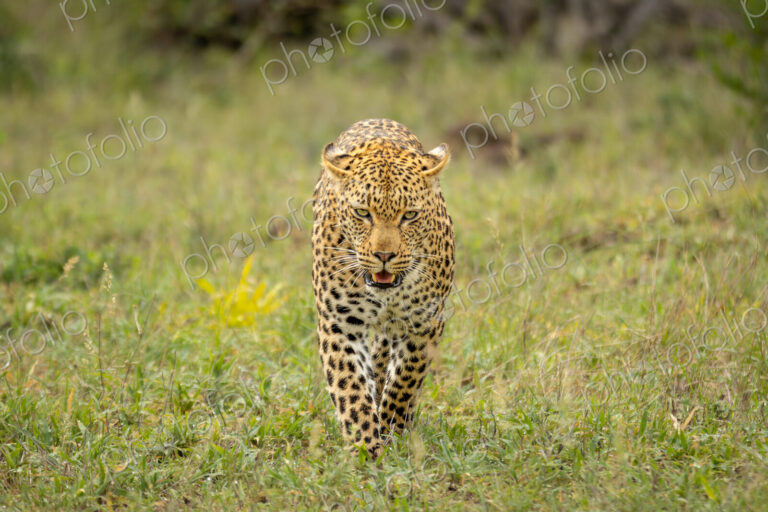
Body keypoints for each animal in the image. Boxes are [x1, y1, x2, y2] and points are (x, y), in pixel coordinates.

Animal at [311, 118, 455, 459]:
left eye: (410, 215)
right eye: (362, 213)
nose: (384, 256)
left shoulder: (425, 323)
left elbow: (404, 380)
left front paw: (391, 429)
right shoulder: (340, 324)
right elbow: (351, 386)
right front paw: (366, 448)